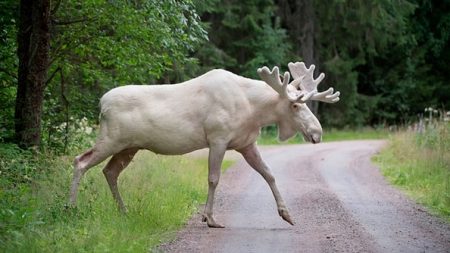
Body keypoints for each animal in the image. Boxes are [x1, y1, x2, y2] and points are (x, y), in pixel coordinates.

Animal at [68, 62, 340, 228]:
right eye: (295, 105)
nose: (317, 132)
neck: (254, 110)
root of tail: (101, 103)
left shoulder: (246, 144)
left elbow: (269, 174)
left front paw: (287, 214)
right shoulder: (217, 138)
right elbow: (213, 178)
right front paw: (209, 218)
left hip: (129, 147)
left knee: (109, 171)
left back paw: (123, 211)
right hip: (111, 139)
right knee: (80, 161)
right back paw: (71, 207)